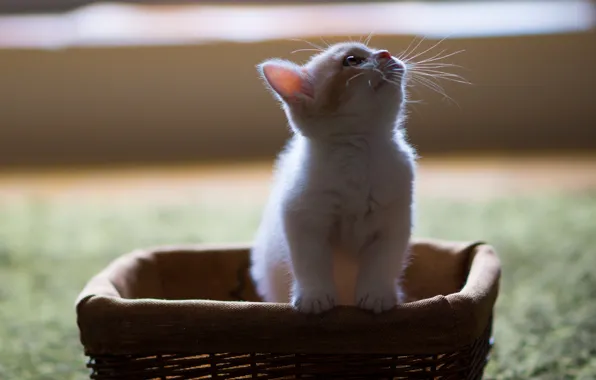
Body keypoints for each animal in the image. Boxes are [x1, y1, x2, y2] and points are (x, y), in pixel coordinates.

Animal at [250, 40, 414, 314]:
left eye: (373, 50)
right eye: (352, 60)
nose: (386, 53)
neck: (359, 153)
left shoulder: (393, 224)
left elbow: (382, 263)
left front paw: (376, 294)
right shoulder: (304, 219)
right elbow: (310, 264)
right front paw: (314, 296)